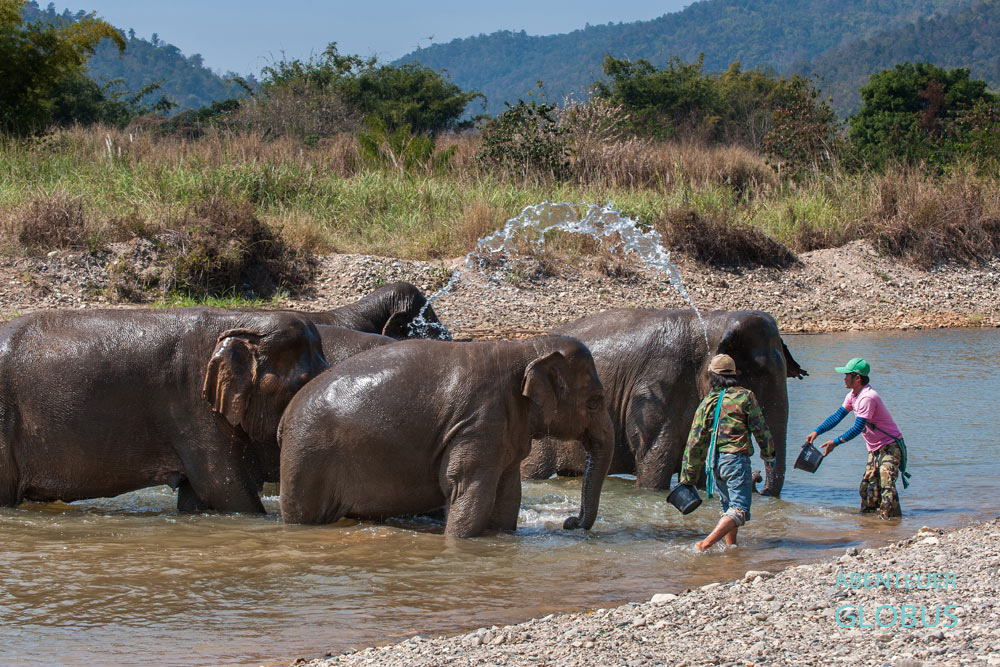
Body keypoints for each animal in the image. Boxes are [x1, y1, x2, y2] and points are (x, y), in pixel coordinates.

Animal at [278, 335, 615, 537]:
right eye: (595, 400)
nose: (570, 523)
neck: (524, 348)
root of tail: (284, 416)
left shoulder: (504, 428)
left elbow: (508, 493)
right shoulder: (479, 422)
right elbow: (467, 487)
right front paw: (458, 541)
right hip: (305, 456)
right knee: (302, 513)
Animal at [520, 309, 807, 496]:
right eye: (757, 373)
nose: (758, 481)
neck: (711, 322)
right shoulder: (659, 387)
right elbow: (652, 462)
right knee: (532, 471)